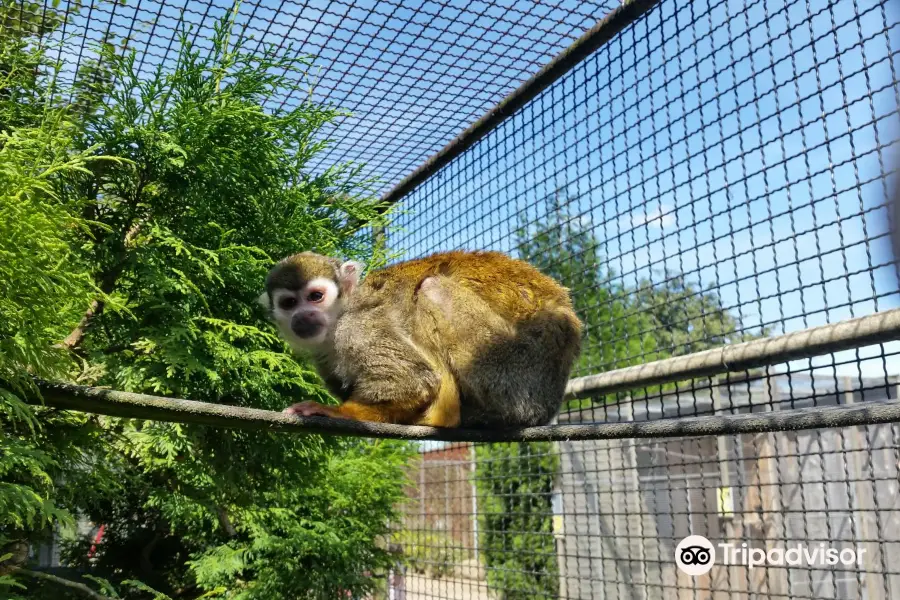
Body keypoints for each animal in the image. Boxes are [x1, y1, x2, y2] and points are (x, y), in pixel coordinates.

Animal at [260, 251, 584, 428]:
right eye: (289, 303)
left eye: (316, 296)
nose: (303, 316)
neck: (339, 317)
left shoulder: (358, 328)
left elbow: (412, 380)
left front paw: (338, 412)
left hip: (516, 376)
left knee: (431, 289)